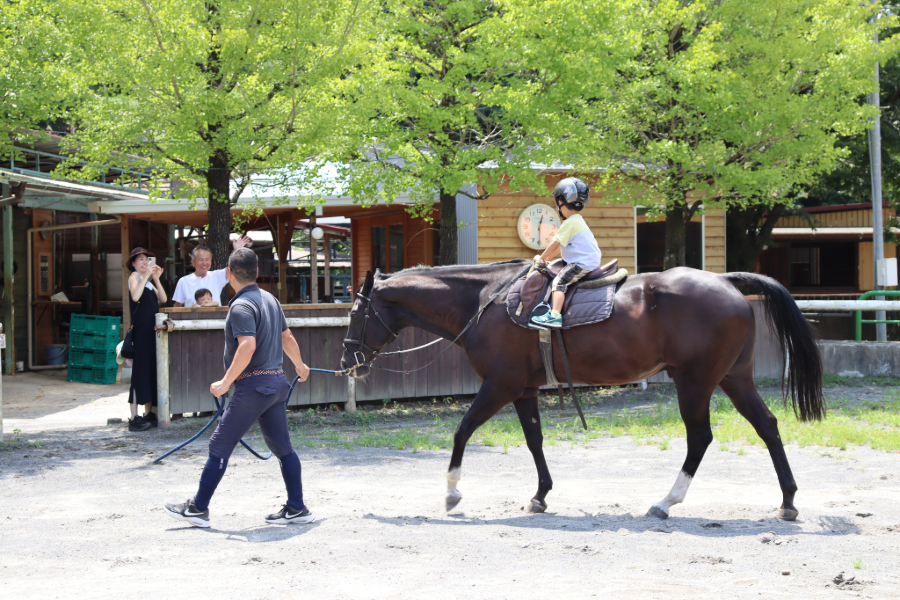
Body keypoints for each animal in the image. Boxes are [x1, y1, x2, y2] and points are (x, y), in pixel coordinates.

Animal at [342, 262, 828, 520]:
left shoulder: (499, 385)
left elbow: (462, 431)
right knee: (768, 426)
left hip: (695, 383)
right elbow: (534, 440)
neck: (484, 303)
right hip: (734, 379)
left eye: (355, 314)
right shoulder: (523, 389)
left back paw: (667, 501)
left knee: (700, 438)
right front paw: (540, 495)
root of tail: (725, 281)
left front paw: (452, 492)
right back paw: (787, 500)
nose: (348, 361)